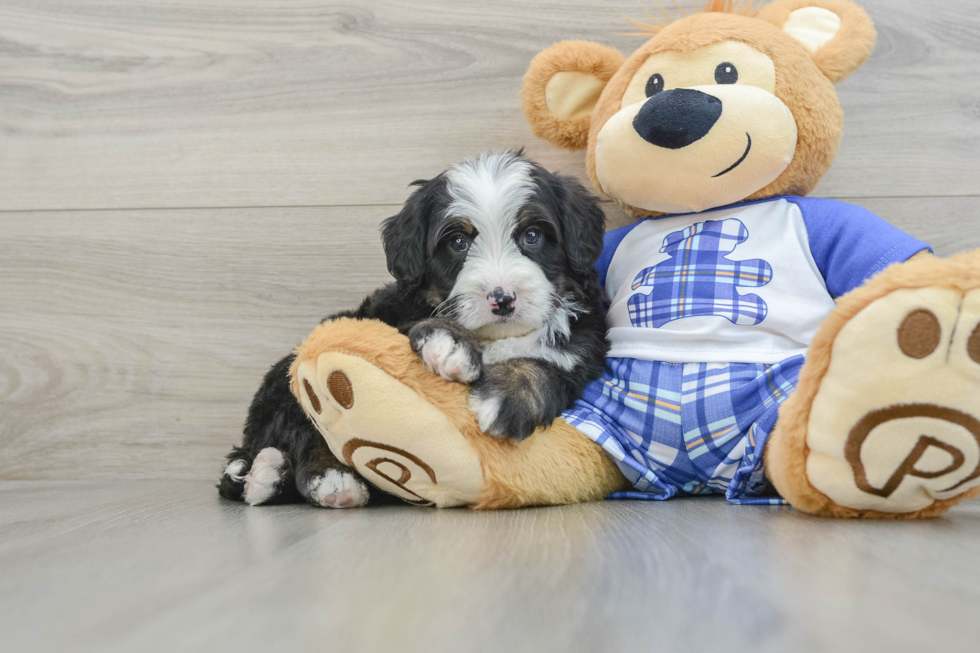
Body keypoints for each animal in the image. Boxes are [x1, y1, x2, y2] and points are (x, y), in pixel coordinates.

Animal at [218, 150, 608, 506]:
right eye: (458, 243)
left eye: (532, 235)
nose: (502, 298)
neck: (495, 338)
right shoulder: (388, 321)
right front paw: (450, 344)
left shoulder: (584, 345)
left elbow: (548, 364)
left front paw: (510, 397)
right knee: (307, 431)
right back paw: (318, 477)